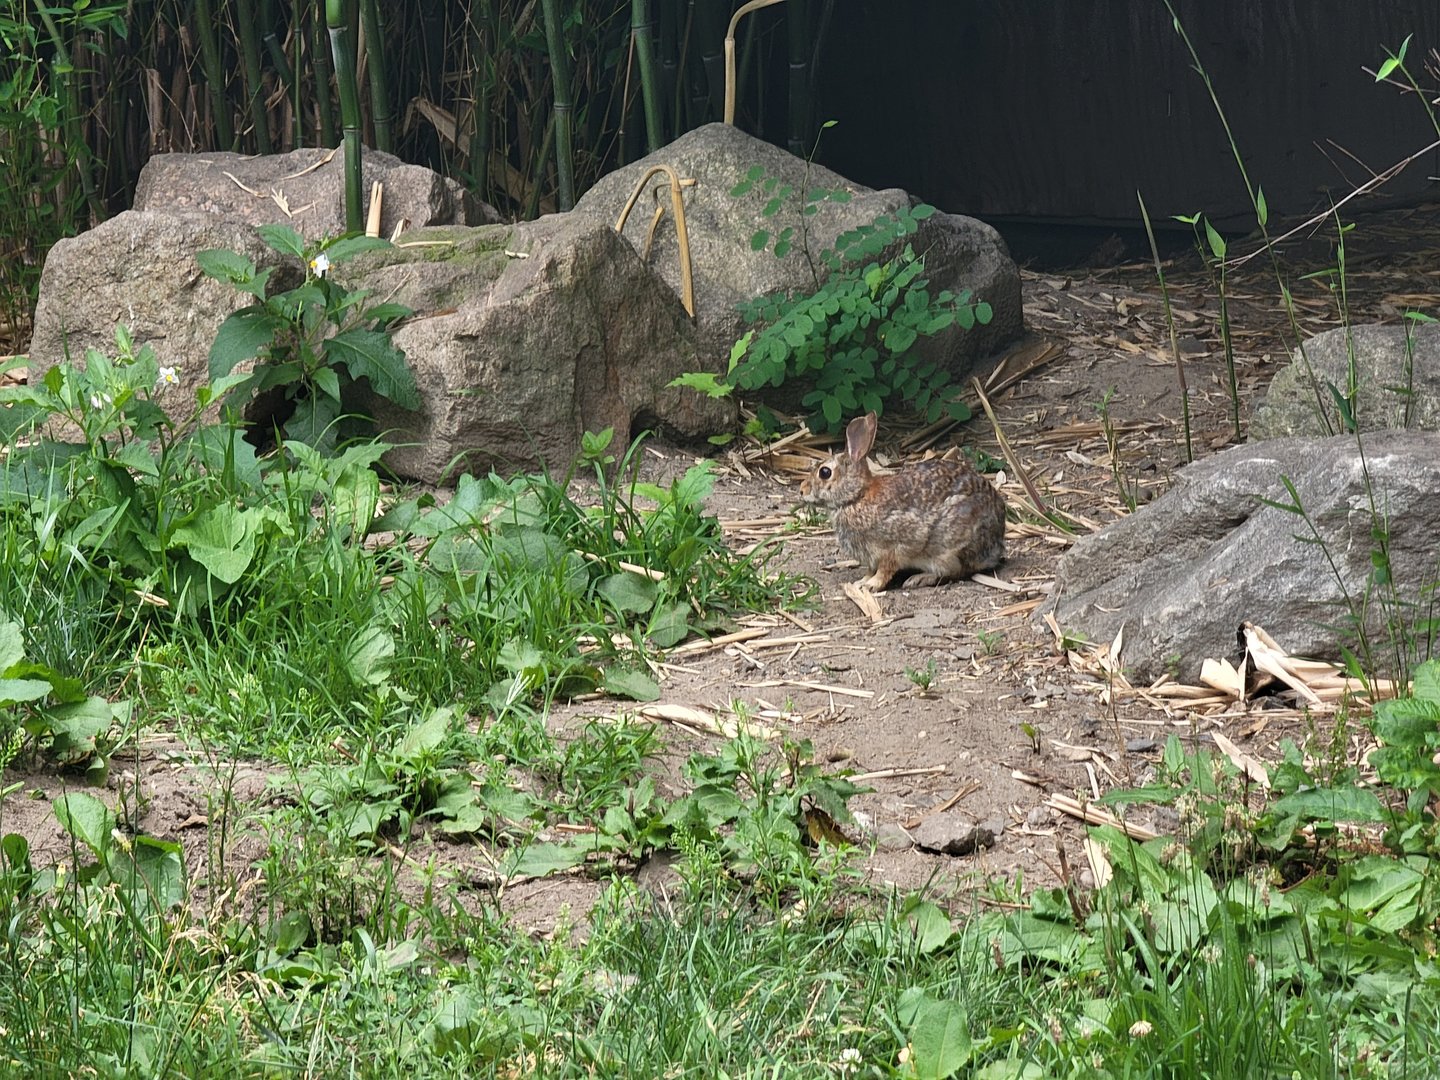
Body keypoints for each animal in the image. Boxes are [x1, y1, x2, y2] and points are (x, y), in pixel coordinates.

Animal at [800, 411, 1007, 591]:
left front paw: (871, 586)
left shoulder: (892, 549)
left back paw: (918, 579)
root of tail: (997, 540)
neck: (856, 497)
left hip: (949, 546)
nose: (802, 491)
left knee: (956, 570)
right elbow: (870, 570)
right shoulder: (872, 558)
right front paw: (861, 582)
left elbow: (885, 570)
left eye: (824, 472)